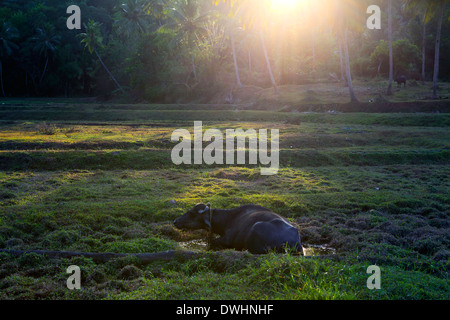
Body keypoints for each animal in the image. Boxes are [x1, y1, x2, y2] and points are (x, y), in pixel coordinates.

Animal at [172, 204, 302, 254]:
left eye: (191, 213)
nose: (175, 221)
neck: (229, 218)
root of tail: (293, 242)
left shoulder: (227, 239)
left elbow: (213, 242)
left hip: (256, 227)